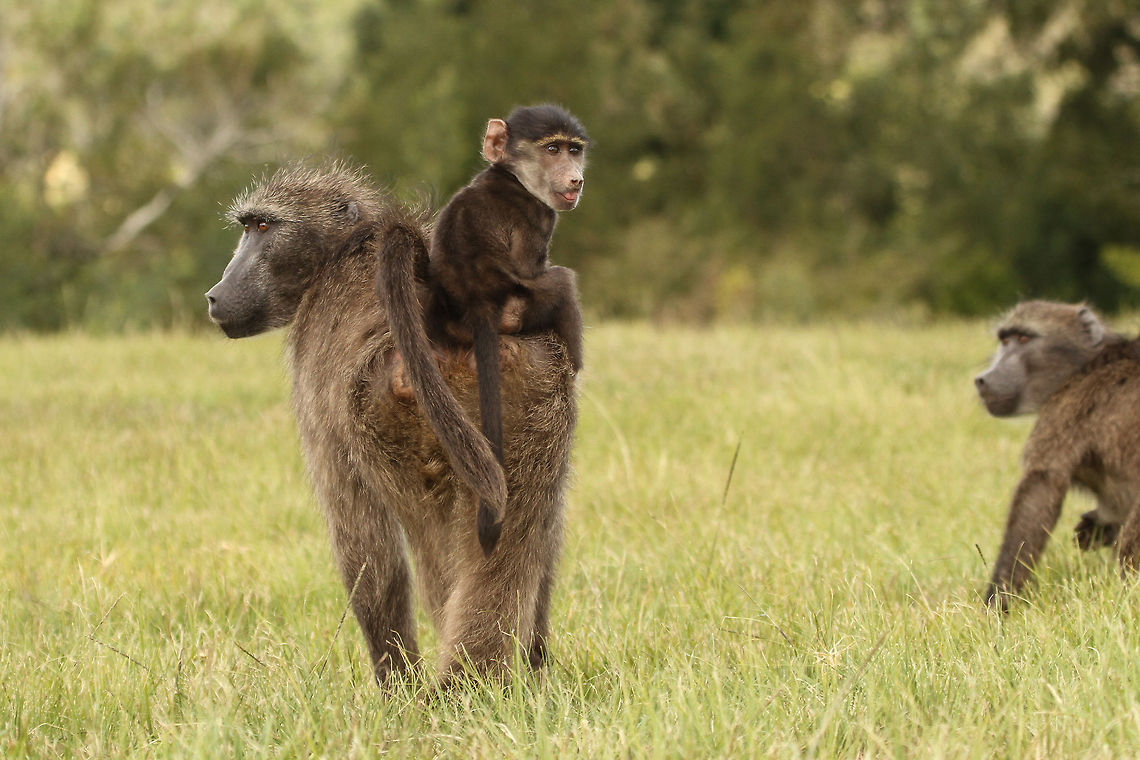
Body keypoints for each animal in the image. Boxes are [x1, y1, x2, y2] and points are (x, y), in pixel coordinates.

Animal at [205, 162, 577, 686]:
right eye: (248, 226)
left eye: (261, 226)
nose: (215, 295)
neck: (341, 252)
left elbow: (365, 547)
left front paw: (398, 691)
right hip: (529, 395)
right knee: (515, 534)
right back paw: (490, 681)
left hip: (397, 423)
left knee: (428, 551)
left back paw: (457, 689)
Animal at [378, 104, 588, 556]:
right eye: (553, 149)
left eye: (574, 150)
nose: (576, 178)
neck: (509, 176)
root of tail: (478, 305)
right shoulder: (539, 218)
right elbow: (537, 266)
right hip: (521, 308)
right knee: (562, 283)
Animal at [973, 300, 1140, 610]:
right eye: (1004, 340)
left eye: (1024, 338)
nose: (983, 379)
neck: (1089, 363)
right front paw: (1098, 527)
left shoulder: (1067, 405)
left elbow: (1041, 487)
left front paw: (997, 603)